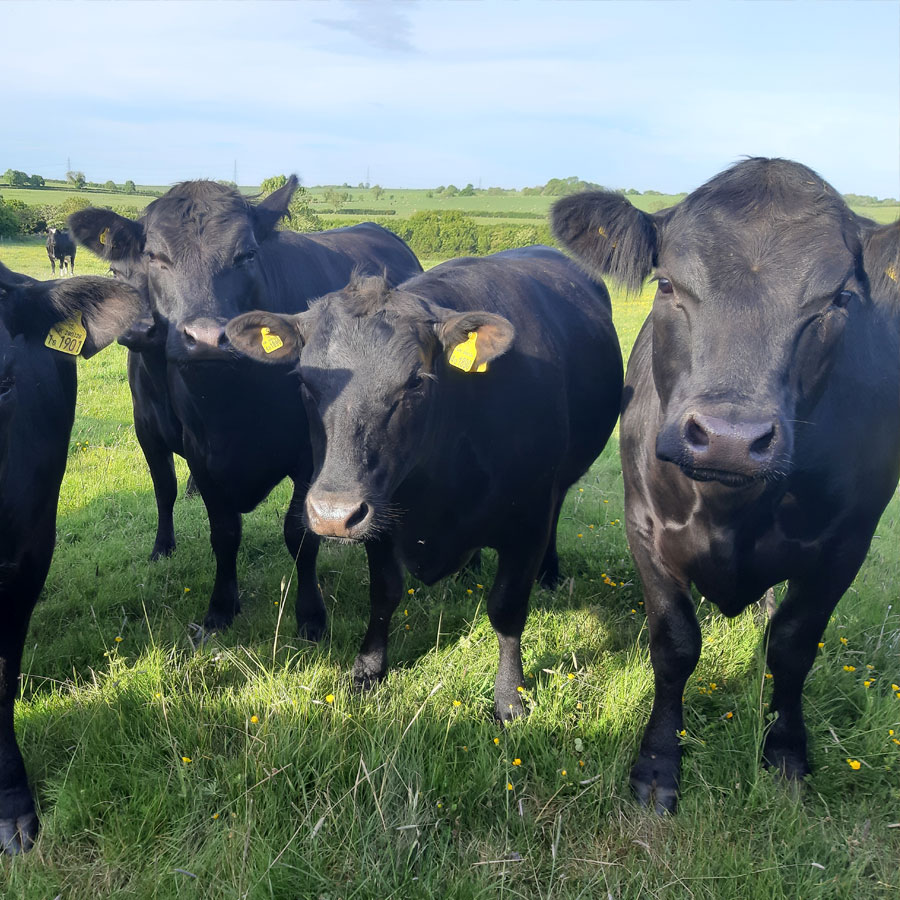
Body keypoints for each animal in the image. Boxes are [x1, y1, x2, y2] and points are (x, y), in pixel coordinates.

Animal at [68, 178, 422, 636]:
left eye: (247, 254)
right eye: (153, 256)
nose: (204, 338)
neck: (231, 405)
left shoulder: (309, 456)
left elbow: (300, 534)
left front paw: (310, 615)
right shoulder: (183, 447)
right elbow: (215, 526)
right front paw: (219, 605)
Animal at [225, 246, 623, 718]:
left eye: (415, 381)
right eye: (304, 380)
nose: (333, 515)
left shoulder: (528, 519)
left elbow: (507, 609)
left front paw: (510, 696)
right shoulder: (380, 513)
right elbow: (384, 593)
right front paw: (368, 670)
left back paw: (550, 571)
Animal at [551, 157, 900, 813]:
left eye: (838, 300)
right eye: (667, 285)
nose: (730, 438)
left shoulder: (846, 546)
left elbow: (792, 646)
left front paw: (785, 753)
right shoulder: (644, 528)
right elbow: (675, 645)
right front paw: (658, 764)